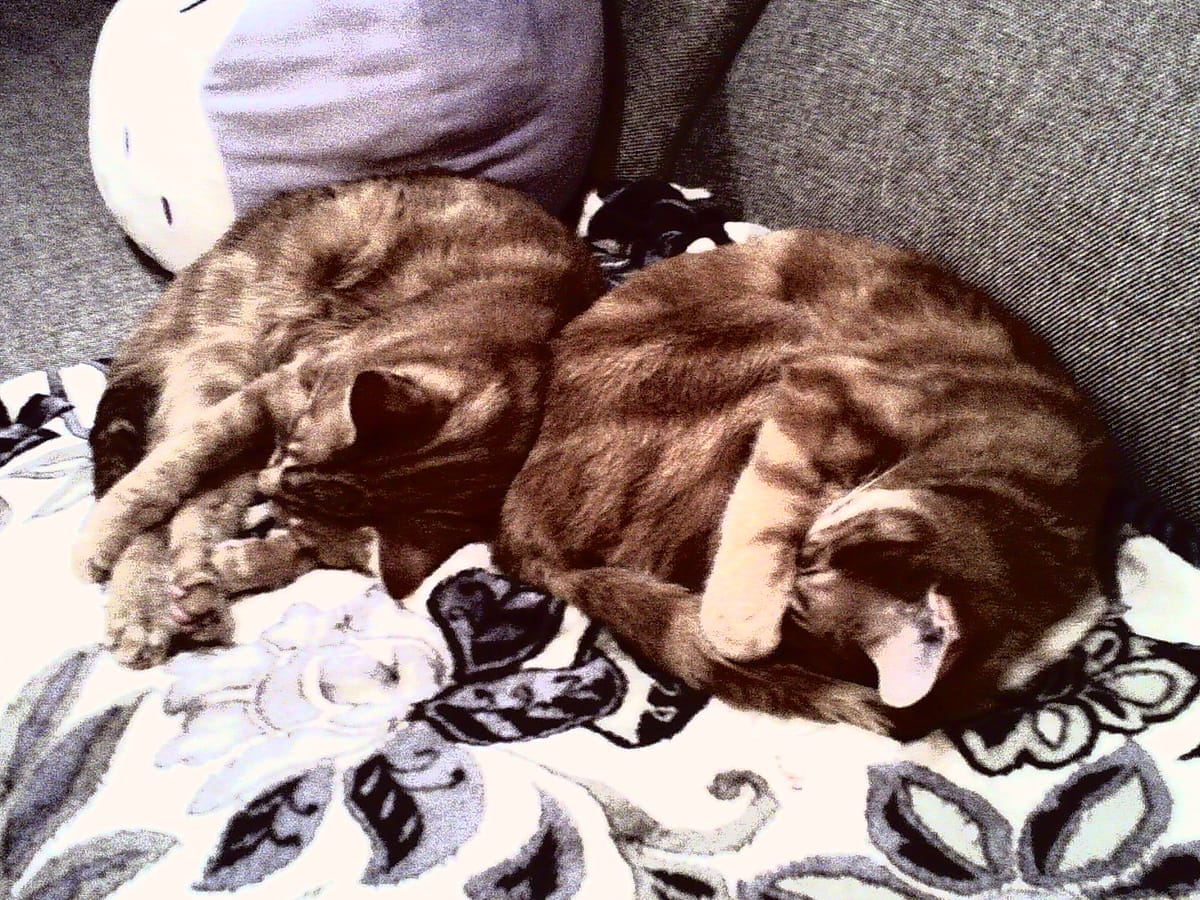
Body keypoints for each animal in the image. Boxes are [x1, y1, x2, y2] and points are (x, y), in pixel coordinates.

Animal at [70, 174, 604, 672]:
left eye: (291, 460)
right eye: (293, 444)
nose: (270, 483)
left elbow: (296, 551)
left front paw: (240, 565)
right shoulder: (272, 392)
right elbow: (168, 470)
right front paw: (103, 537)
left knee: (199, 513)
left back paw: (195, 599)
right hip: (223, 363)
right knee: (156, 493)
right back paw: (138, 607)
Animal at [494, 230, 1113, 739]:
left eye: (803, 597)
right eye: (812, 561)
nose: (810, 544)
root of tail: (516, 523)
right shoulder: (823, 390)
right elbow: (762, 515)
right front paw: (738, 629)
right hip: (773, 337)